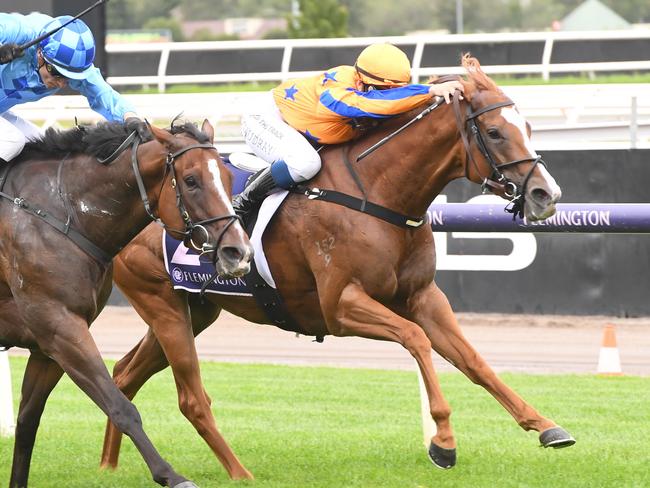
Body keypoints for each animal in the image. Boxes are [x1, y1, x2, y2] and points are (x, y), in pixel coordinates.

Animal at [0, 119, 252, 488]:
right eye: (191, 180)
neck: (64, 212)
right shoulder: (60, 328)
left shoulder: (50, 342)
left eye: (228, 176)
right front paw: (173, 475)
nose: (239, 252)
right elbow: (120, 407)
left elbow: (28, 420)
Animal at [101, 58, 572, 480]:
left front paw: (545, 426)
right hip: (161, 303)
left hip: (194, 310)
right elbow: (416, 340)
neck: (378, 193)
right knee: (163, 386)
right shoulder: (341, 305)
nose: (546, 193)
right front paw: (443, 443)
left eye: (529, 129)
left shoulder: (422, 295)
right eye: (494, 132)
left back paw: (108, 466)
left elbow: (473, 360)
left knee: (124, 374)